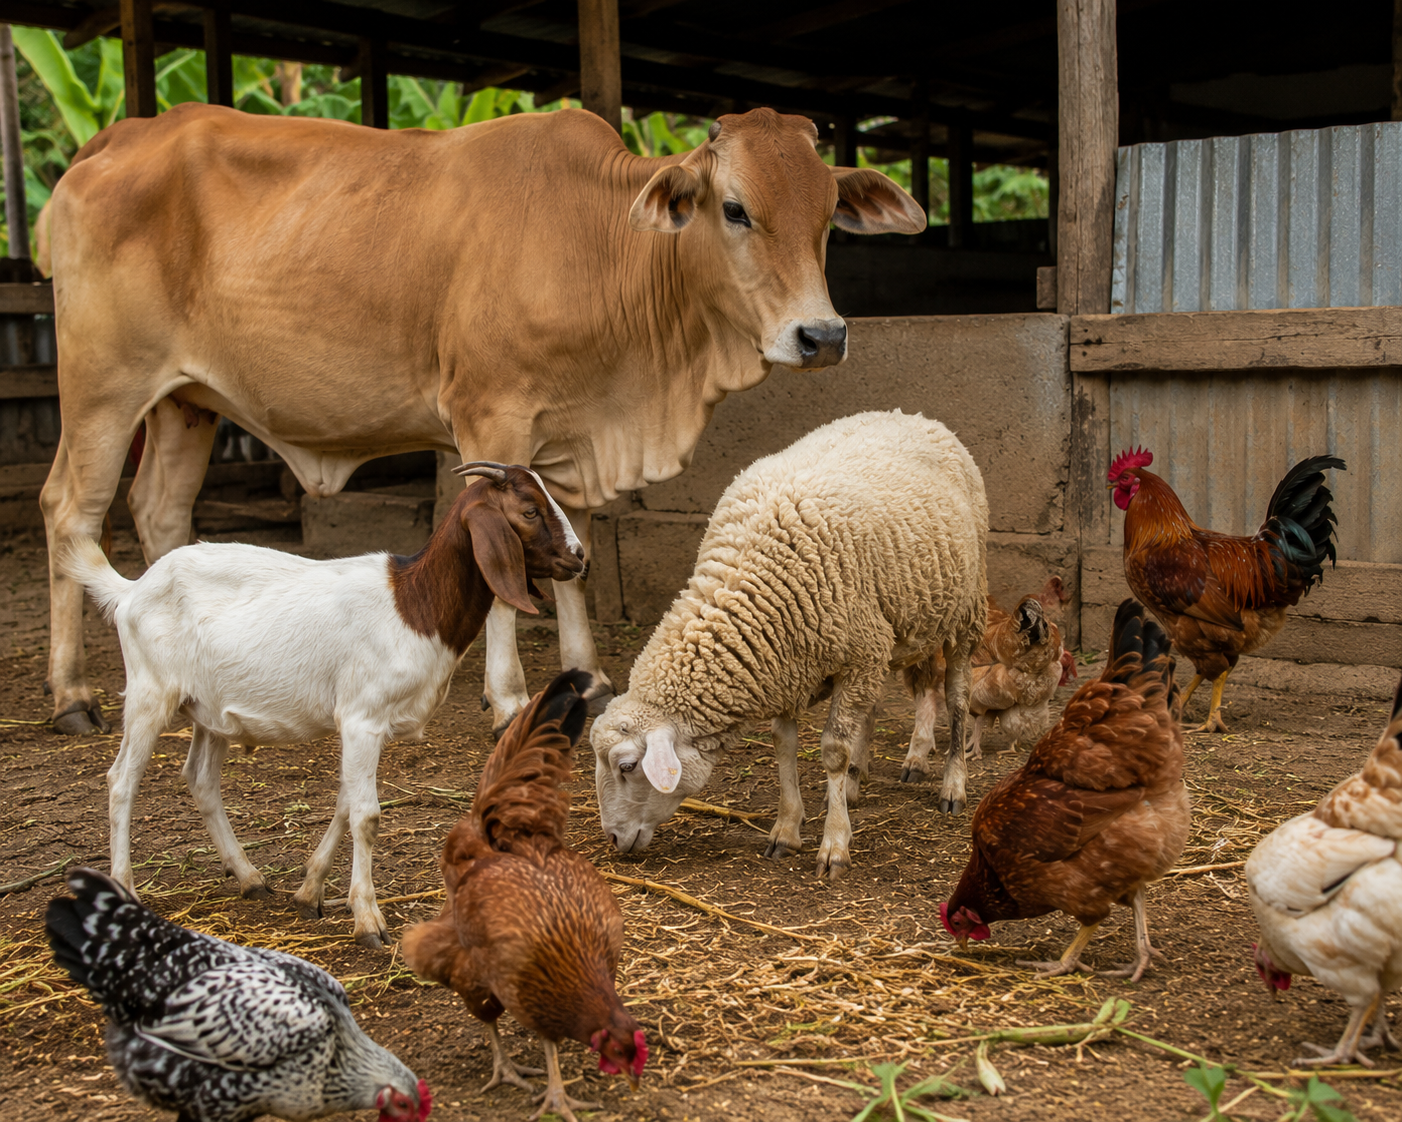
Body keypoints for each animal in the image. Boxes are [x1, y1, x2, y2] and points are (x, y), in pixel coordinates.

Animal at [41, 102, 925, 736]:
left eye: (827, 216)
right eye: (736, 209)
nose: (822, 335)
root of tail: (123, 133)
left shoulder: (570, 438)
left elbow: (574, 556)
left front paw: (588, 677)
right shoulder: (490, 419)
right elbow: (502, 579)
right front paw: (506, 697)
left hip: (186, 402)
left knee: (159, 510)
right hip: (103, 387)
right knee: (71, 511)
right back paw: (71, 694)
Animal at [59, 462, 585, 948]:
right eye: (529, 510)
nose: (579, 557)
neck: (413, 604)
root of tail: (131, 590)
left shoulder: (364, 725)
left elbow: (345, 803)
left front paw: (310, 892)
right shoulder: (362, 718)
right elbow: (366, 815)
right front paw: (368, 920)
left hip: (208, 709)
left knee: (201, 779)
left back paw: (249, 877)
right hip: (150, 693)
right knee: (122, 781)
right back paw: (125, 888)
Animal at [590, 410, 988, 881]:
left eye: (627, 766)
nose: (613, 839)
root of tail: (912, 415)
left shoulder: (846, 654)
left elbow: (832, 751)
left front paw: (834, 845)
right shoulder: (787, 663)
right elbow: (783, 744)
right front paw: (786, 828)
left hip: (965, 610)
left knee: (957, 697)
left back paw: (952, 785)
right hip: (883, 634)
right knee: (872, 706)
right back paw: (856, 782)